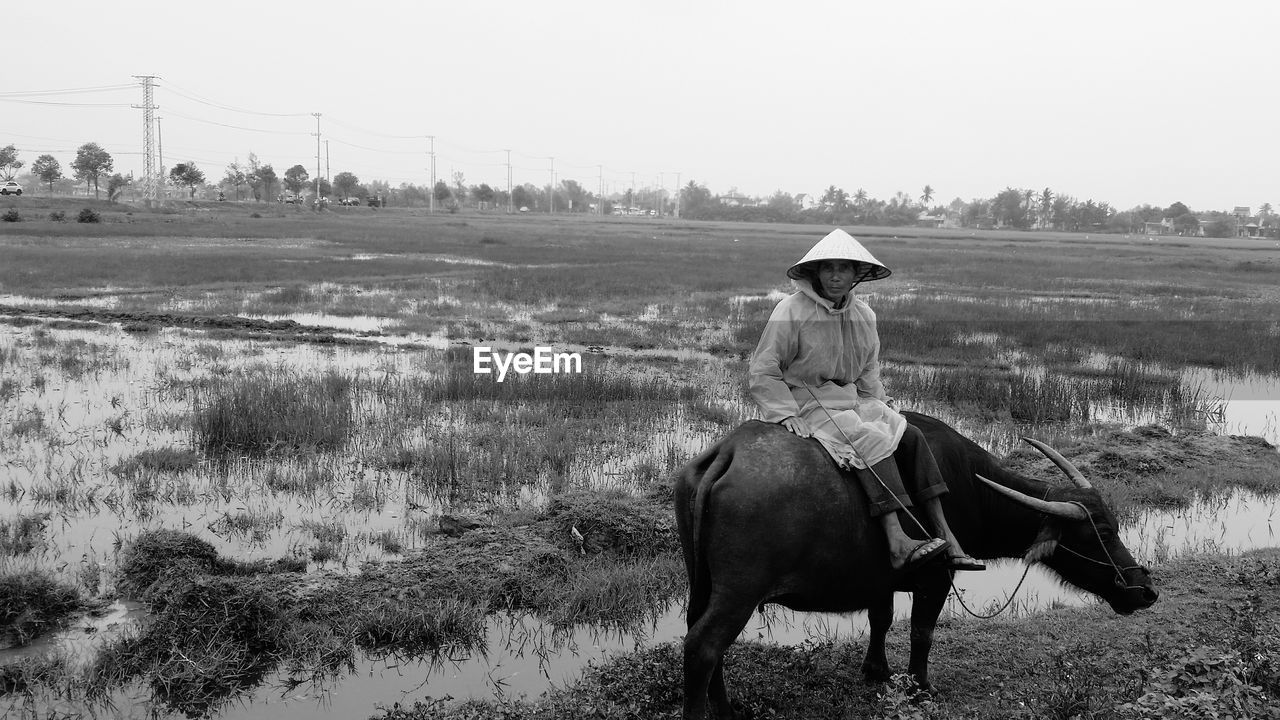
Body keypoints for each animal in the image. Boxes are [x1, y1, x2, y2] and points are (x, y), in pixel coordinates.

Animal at [675, 409, 1167, 717]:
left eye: (1114, 525)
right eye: (1099, 533)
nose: (1144, 590)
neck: (970, 489)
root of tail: (727, 453)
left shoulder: (881, 581)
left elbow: (881, 620)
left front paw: (878, 672)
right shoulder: (937, 578)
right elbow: (922, 632)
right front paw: (921, 687)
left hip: (703, 583)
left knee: (701, 636)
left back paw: (726, 706)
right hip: (739, 591)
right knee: (703, 645)